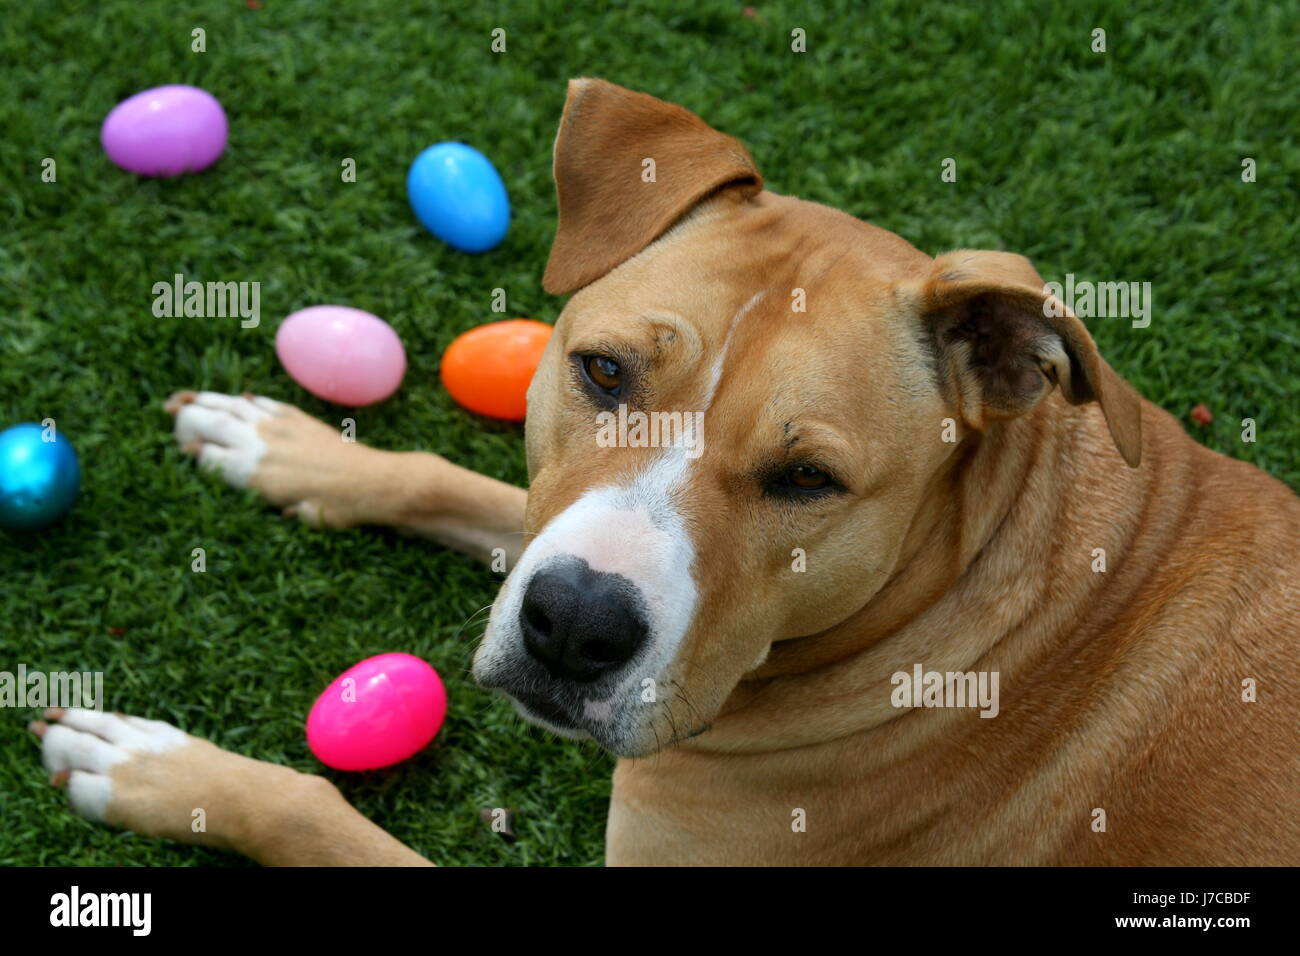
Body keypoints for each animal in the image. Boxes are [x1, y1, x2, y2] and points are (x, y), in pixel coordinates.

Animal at [30, 78, 1300, 863]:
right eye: (599, 370)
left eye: (808, 479)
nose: (573, 626)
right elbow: (469, 485)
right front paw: (290, 446)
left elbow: (324, 815)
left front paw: (163, 769)